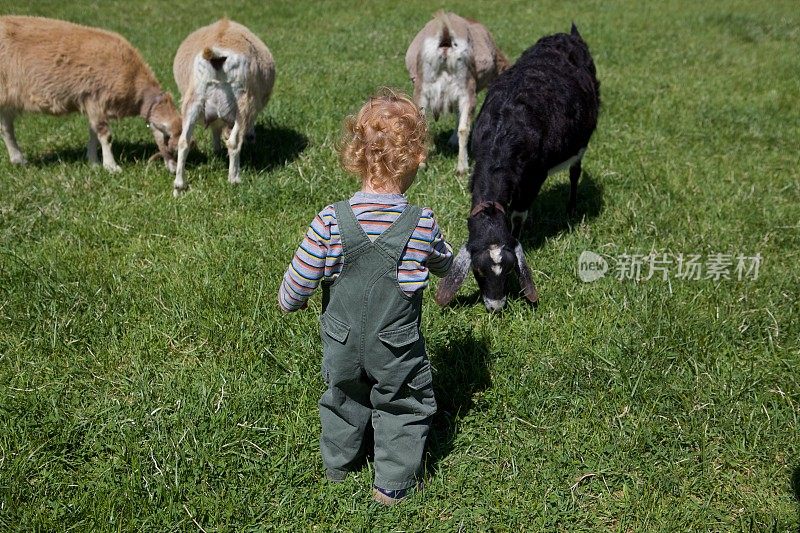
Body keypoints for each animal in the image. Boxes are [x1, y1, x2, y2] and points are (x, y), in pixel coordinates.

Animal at [0, 15, 181, 172]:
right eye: (171, 144)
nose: (174, 170)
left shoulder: (92, 103)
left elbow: (93, 132)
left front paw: (94, 162)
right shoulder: (96, 98)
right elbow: (105, 135)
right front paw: (111, 167)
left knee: (6, 127)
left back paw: (18, 160)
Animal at [172, 19, 276, 197]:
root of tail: (217, 53)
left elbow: (215, 129)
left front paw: (216, 151)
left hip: (193, 99)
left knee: (183, 141)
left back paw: (179, 186)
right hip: (243, 102)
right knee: (234, 142)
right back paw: (234, 180)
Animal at [404, 10, 510, 175]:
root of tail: (445, 35)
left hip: (421, 89)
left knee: (420, 126)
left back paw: (421, 166)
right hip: (466, 87)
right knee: (464, 128)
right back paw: (462, 168)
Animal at [438, 22, 600, 310]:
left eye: (511, 269)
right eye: (478, 271)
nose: (495, 306)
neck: (503, 132)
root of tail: (569, 36)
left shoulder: (535, 176)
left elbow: (518, 215)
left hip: (581, 143)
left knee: (575, 172)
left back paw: (571, 208)